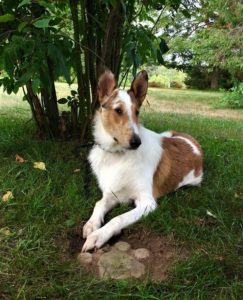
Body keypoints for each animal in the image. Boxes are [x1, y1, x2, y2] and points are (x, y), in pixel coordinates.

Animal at [81, 69, 203, 251]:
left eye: (137, 112)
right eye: (118, 110)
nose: (136, 142)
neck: (117, 155)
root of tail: (192, 140)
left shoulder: (147, 202)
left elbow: (118, 218)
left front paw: (98, 236)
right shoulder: (113, 193)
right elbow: (99, 203)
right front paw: (91, 224)